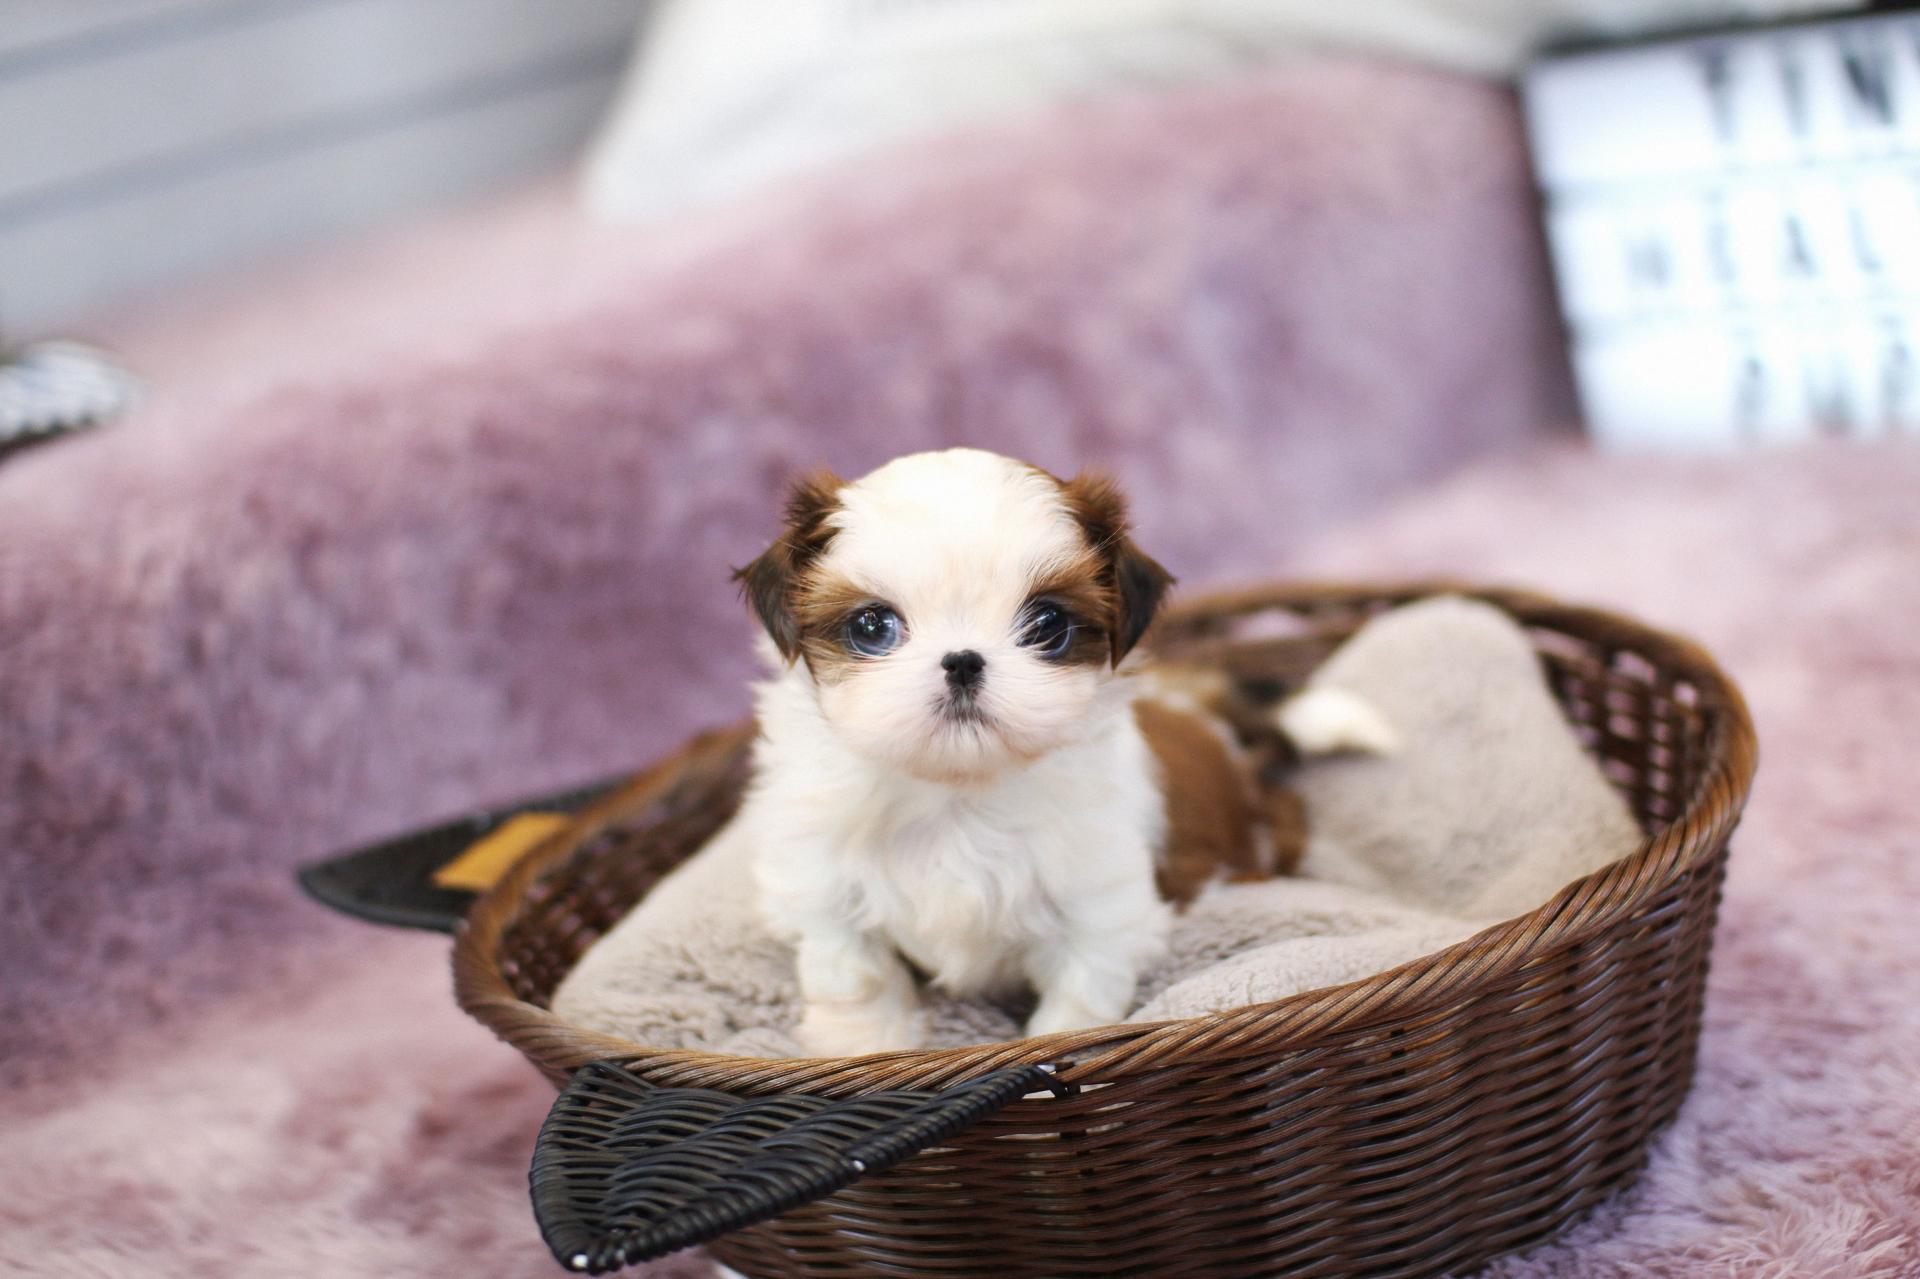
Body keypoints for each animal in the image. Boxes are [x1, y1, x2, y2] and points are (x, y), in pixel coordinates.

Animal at [731, 448, 1391, 1056]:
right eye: (872, 627)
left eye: (1048, 624)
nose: (962, 661)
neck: (958, 793)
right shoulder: (824, 891)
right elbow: (855, 977)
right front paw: (863, 1048)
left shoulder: (1098, 908)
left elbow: (1077, 1005)